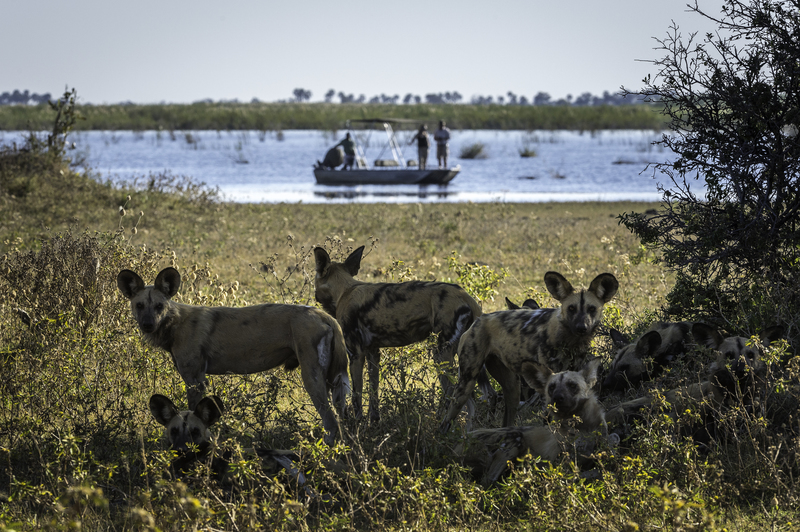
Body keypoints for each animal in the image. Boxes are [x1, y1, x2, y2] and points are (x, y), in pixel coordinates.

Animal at [118, 266, 350, 444]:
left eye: (159, 306)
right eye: (139, 305)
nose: (148, 325)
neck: (175, 323)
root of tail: (324, 315)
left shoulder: (195, 381)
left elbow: (194, 415)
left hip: (312, 378)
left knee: (331, 422)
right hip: (333, 382)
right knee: (344, 417)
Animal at [316, 246, 484, 424]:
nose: (315, 296)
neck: (345, 290)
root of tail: (467, 296)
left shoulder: (356, 354)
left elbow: (357, 395)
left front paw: (358, 423)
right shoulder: (373, 353)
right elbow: (374, 391)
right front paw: (374, 422)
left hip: (441, 354)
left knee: (452, 392)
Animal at [462, 358, 620, 486]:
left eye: (572, 385)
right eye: (551, 387)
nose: (557, 398)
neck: (582, 427)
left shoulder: (606, 444)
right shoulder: (562, 465)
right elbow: (587, 474)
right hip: (514, 439)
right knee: (486, 482)